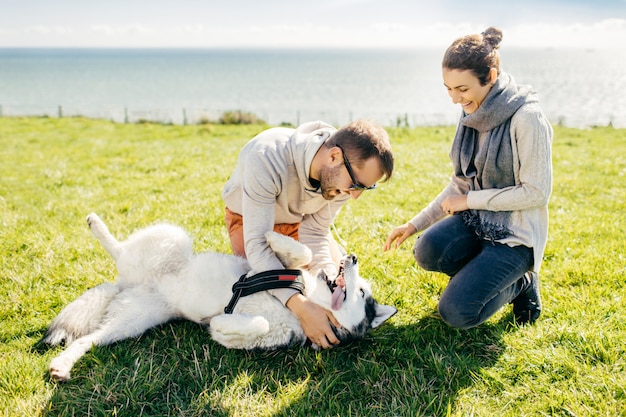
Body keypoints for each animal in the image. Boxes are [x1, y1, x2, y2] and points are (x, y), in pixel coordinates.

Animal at [44, 214, 394, 380]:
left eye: (360, 292)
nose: (352, 258)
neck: (305, 301)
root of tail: (127, 282)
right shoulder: (270, 266)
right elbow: (302, 252)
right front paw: (272, 236)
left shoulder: (262, 336)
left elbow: (254, 325)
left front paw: (220, 322)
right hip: (174, 239)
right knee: (119, 249)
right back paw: (96, 223)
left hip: (131, 323)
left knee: (87, 339)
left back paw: (62, 366)